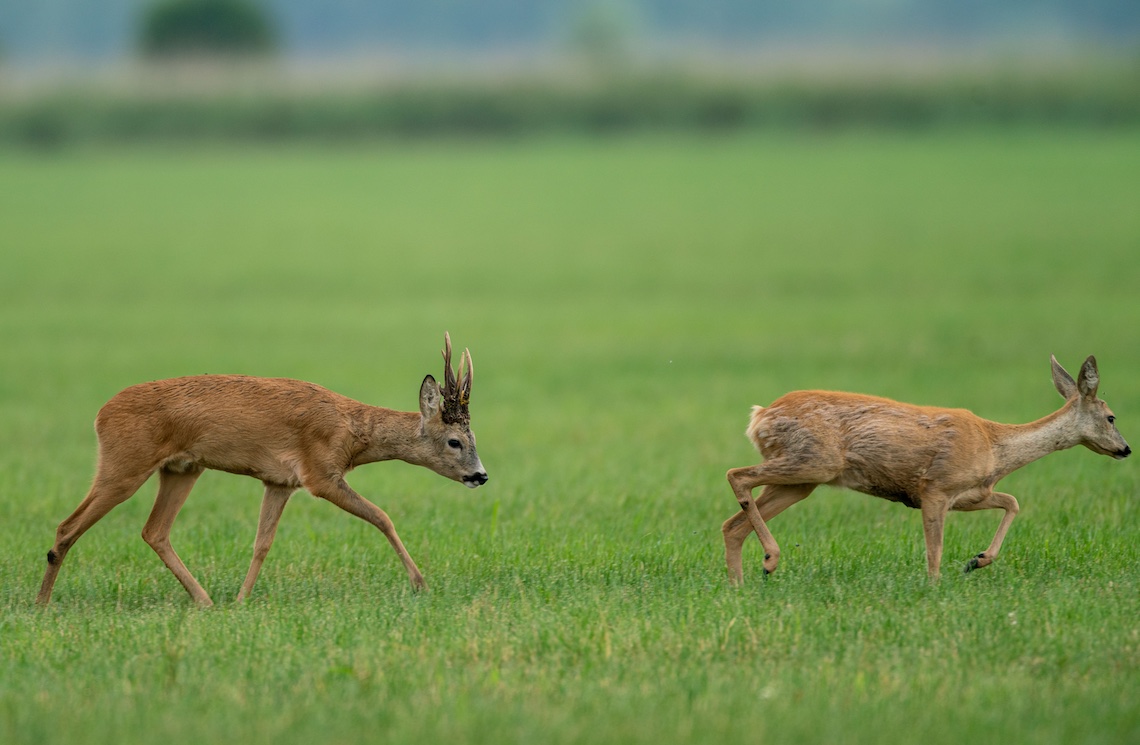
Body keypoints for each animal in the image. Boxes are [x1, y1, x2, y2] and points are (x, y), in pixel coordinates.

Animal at [36, 332, 485, 606]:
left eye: (475, 437)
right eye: (455, 441)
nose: (480, 475)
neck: (352, 431)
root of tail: (100, 415)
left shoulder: (279, 480)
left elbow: (262, 543)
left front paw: (240, 600)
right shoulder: (320, 474)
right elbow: (382, 516)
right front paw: (420, 583)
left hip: (182, 468)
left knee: (154, 530)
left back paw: (205, 600)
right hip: (125, 463)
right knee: (67, 527)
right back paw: (41, 604)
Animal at [720, 355, 1130, 583]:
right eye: (1111, 416)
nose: (1125, 449)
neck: (993, 447)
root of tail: (759, 416)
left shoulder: (971, 495)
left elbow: (1012, 501)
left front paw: (977, 561)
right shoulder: (935, 488)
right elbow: (934, 551)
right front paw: (937, 586)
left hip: (803, 479)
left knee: (731, 525)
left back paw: (741, 584)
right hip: (814, 462)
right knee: (735, 475)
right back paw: (770, 560)